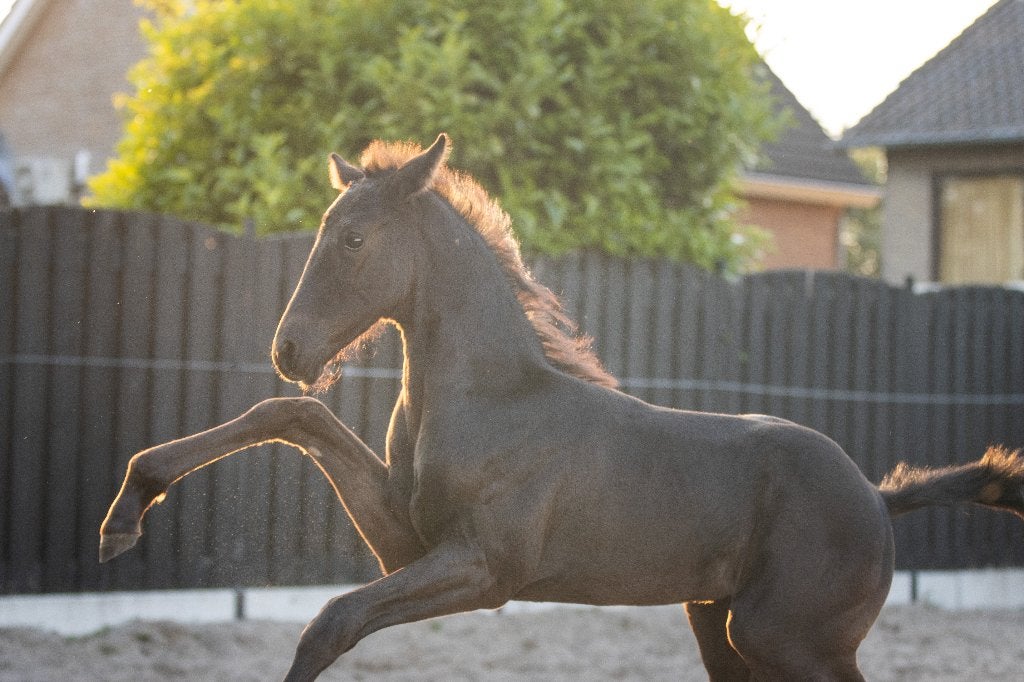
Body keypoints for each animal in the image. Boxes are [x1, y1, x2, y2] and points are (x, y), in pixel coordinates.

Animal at [100, 134, 1024, 681]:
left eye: (354, 238)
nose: (289, 351)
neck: (490, 400)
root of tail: (875, 495)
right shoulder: (409, 545)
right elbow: (294, 420)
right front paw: (128, 509)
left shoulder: (484, 570)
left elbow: (332, 620)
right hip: (722, 629)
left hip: (790, 639)